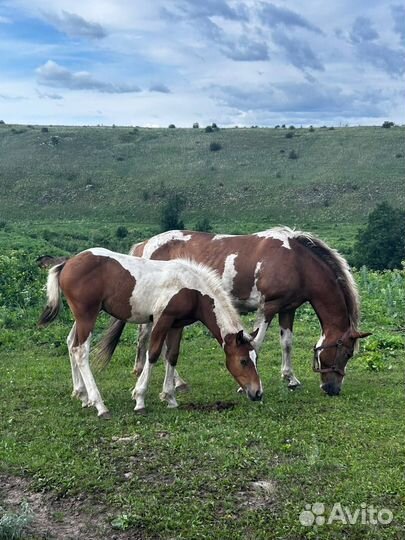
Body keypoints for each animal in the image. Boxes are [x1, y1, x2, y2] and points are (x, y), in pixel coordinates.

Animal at [38, 249, 262, 418]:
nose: (257, 393)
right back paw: (100, 405)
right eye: (243, 361)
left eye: (256, 359)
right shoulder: (162, 319)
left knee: (70, 343)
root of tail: (67, 263)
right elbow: (153, 353)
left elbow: (172, 356)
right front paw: (140, 399)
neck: (192, 289)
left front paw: (170, 397)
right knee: (81, 351)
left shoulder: (177, 325)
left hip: (82, 317)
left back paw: (82, 395)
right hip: (87, 315)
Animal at [120, 228, 370, 396]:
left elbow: (287, 343)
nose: (333, 389)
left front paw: (290, 378)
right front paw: (246, 385)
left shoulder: (288, 309)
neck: (297, 262)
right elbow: (256, 343)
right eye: (347, 353)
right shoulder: (268, 307)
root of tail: (145, 245)